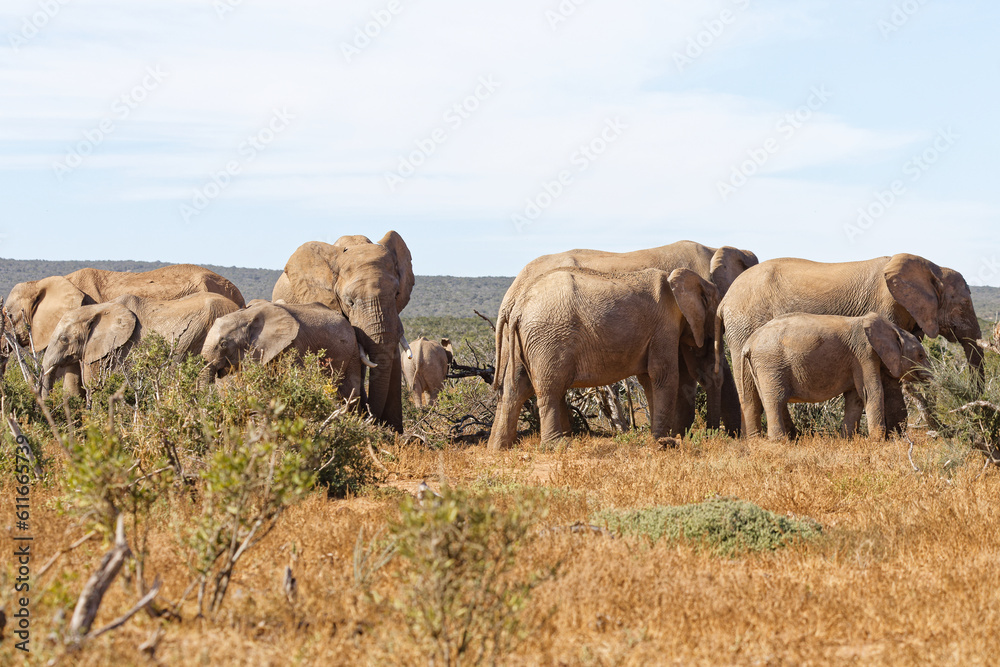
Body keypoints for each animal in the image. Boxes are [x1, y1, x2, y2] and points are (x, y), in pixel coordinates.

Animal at [488, 266, 720, 451]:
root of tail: (517, 306)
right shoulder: (664, 326)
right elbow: (664, 376)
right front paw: (663, 442)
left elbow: (648, 379)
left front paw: (658, 440)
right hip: (547, 337)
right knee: (550, 387)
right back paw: (558, 446)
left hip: (523, 339)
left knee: (516, 387)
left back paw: (498, 448)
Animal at [740, 313, 930, 440]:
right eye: (921, 355)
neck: (894, 329)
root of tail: (749, 343)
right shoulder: (864, 354)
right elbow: (872, 391)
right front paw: (877, 442)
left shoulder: (858, 359)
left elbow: (856, 397)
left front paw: (848, 440)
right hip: (770, 363)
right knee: (775, 400)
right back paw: (780, 443)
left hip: (761, 367)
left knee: (770, 400)